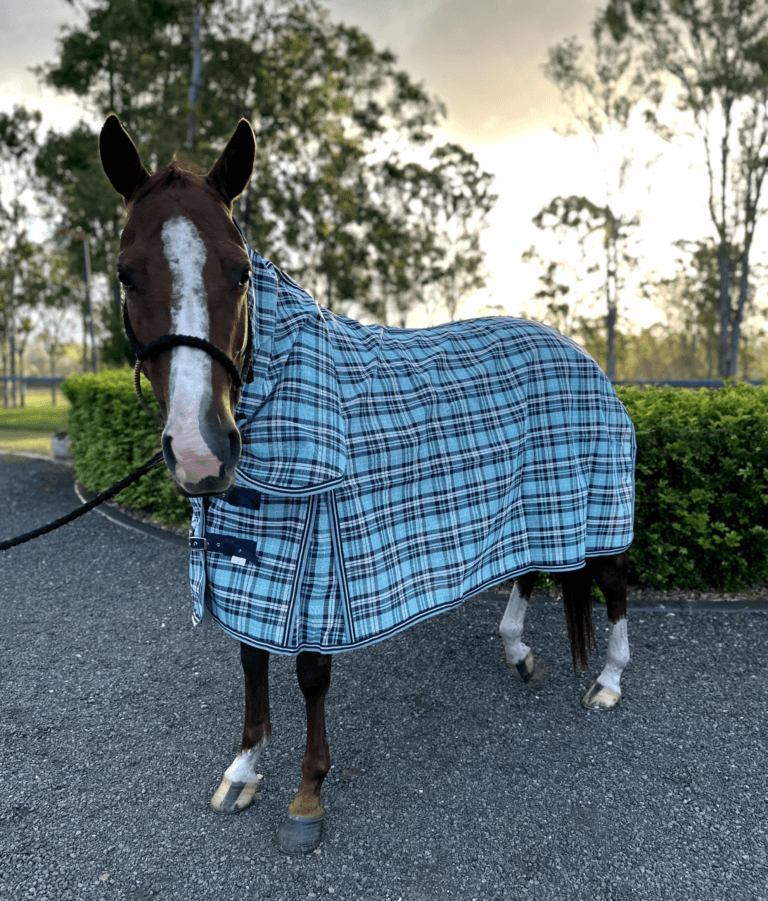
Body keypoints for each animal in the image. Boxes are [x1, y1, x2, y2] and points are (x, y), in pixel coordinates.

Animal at [99, 116, 632, 856]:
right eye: (127, 273)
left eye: (240, 272)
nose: (202, 451)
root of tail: (578, 352)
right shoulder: (253, 560)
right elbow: (252, 660)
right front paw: (243, 770)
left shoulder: (320, 560)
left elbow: (309, 674)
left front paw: (307, 795)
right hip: (528, 502)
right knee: (529, 569)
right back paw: (519, 651)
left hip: (596, 498)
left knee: (612, 581)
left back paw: (608, 682)